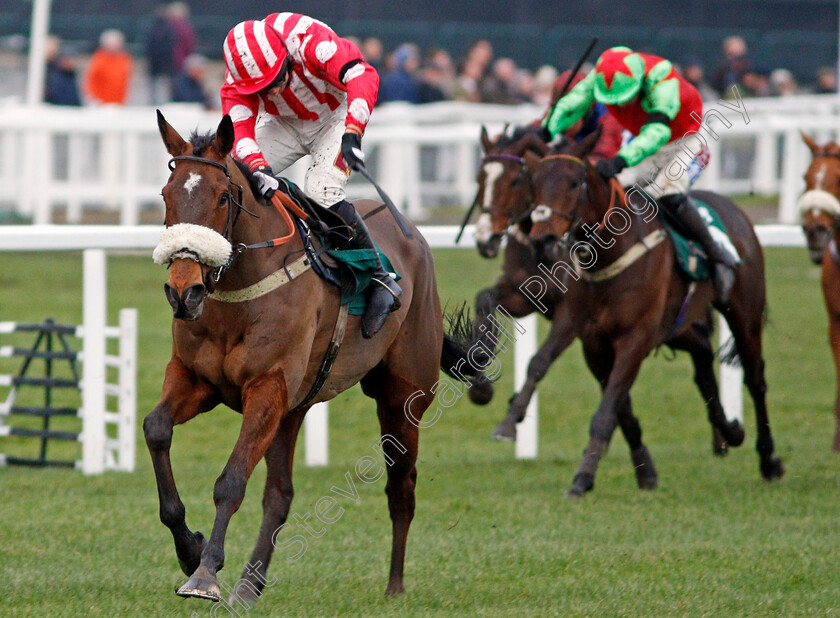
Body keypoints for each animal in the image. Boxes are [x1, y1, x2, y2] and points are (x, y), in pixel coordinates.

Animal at [148, 110, 482, 600]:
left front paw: (205, 572)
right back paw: (250, 583)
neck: (239, 292)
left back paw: (395, 585)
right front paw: (190, 548)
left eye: (222, 197)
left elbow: (231, 480)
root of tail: (415, 239)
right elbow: (156, 430)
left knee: (401, 487)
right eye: (166, 195)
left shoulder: (266, 386)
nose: (183, 291)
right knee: (280, 494)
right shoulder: (198, 379)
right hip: (293, 408)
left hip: (403, 396)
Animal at [528, 131, 784, 496]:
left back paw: (768, 458)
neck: (611, 255)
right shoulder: (595, 344)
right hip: (678, 324)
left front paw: (583, 478)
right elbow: (618, 407)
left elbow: (608, 409)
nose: (543, 240)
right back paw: (729, 432)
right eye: (534, 183)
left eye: (574, 182)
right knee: (703, 361)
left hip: (744, 314)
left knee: (755, 380)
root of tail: (736, 210)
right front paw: (642, 470)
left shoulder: (635, 337)